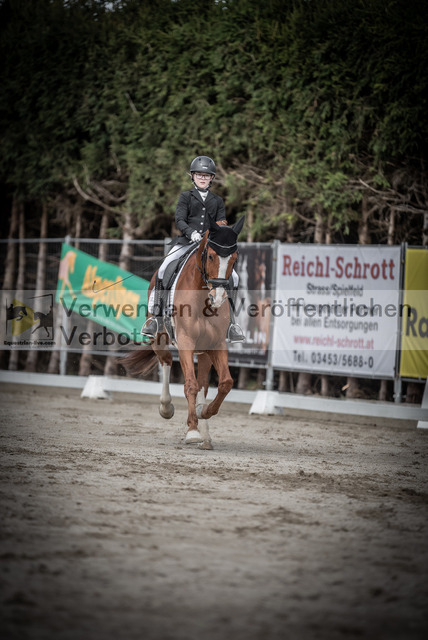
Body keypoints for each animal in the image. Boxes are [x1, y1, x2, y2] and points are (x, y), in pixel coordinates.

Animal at [124, 216, 245, 450]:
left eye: (234, 259)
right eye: (210, 255)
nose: (218, 298)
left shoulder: (216, 344)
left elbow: (225, 383)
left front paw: (204, 414)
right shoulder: (186, 342)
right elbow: (189, 385)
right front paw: (192, 431)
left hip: (204, 352)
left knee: (204, 385)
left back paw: (205, 432)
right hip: (160, 339)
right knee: (166, 361)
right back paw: (166, 408)